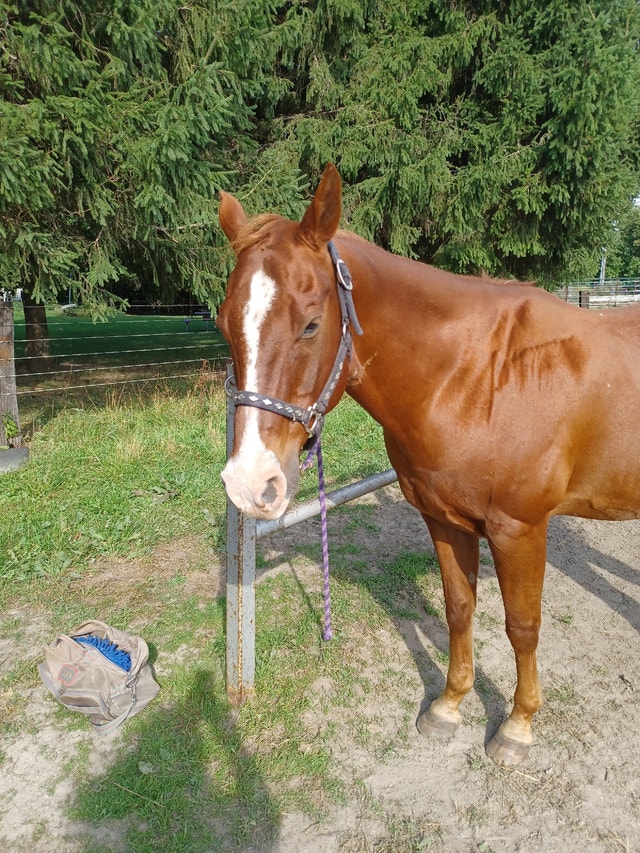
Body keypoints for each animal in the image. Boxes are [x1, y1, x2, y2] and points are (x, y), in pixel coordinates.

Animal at [216, 163, 640, 766]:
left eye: (310, 324)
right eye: (225, 325)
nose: (249, 483)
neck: (479, 375)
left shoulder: (519, 529)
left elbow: (522, 626)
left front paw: (518, 726)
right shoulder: (443, 518)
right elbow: (459, 607)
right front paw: (448, 705)